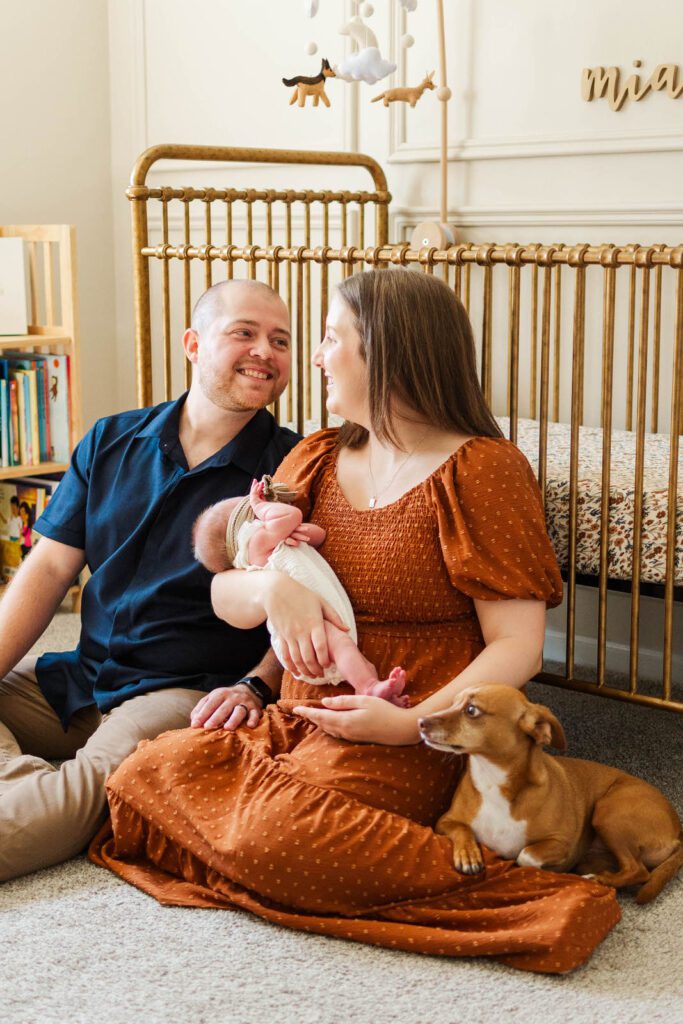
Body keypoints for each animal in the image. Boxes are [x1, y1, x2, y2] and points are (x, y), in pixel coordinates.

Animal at [419, 688, 679, 905]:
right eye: (453, 702)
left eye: (471, 710)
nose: (420, 721)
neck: (494, 780)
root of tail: (678, 829)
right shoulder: (444, 821)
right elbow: (462, 829)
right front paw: (468, 854)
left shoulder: (561, 843)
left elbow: (525, 855)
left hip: (608, 815)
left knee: (639, 871)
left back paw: (600, 880)